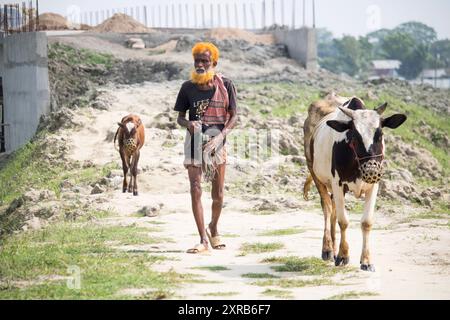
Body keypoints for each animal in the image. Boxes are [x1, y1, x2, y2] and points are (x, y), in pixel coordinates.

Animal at [304, 96, 406, 272]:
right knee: (327, 208)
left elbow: (366, 222)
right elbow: (343, 221)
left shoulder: (374, 185)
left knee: (333, 211)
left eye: (380, 134)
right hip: (315, 173)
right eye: (354, 137)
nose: (371, 169)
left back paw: (334, 249)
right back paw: (328, 249)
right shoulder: (337, 183)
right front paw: (343, 256)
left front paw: (366, 260)